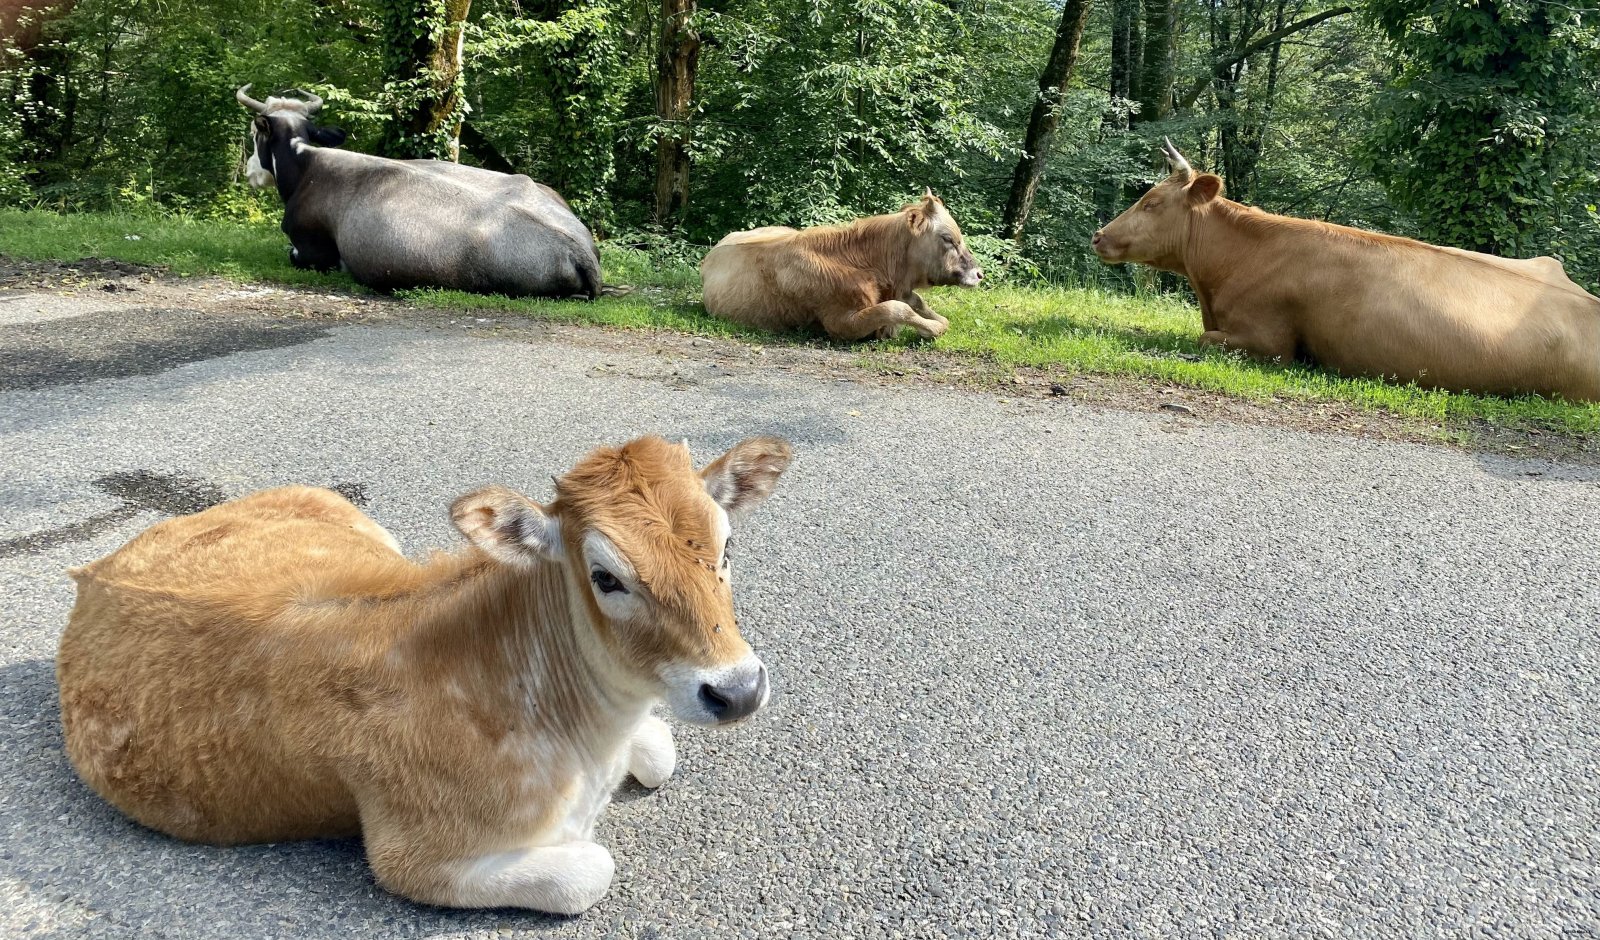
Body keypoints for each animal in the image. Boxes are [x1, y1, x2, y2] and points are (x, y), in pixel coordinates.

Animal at [56, 438, 793, 914]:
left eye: (727, 545)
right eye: (606, 576)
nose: (736, 690)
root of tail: (99, 567)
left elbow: (660, 751)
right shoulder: (411, 855)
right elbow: (588, 869)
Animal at [704, 191, 979, 342]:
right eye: (948, 238)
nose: (979, 273)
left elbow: (917, 302)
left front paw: (935, 322)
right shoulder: (839, 323)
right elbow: (896, 308)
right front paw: (932, 328)